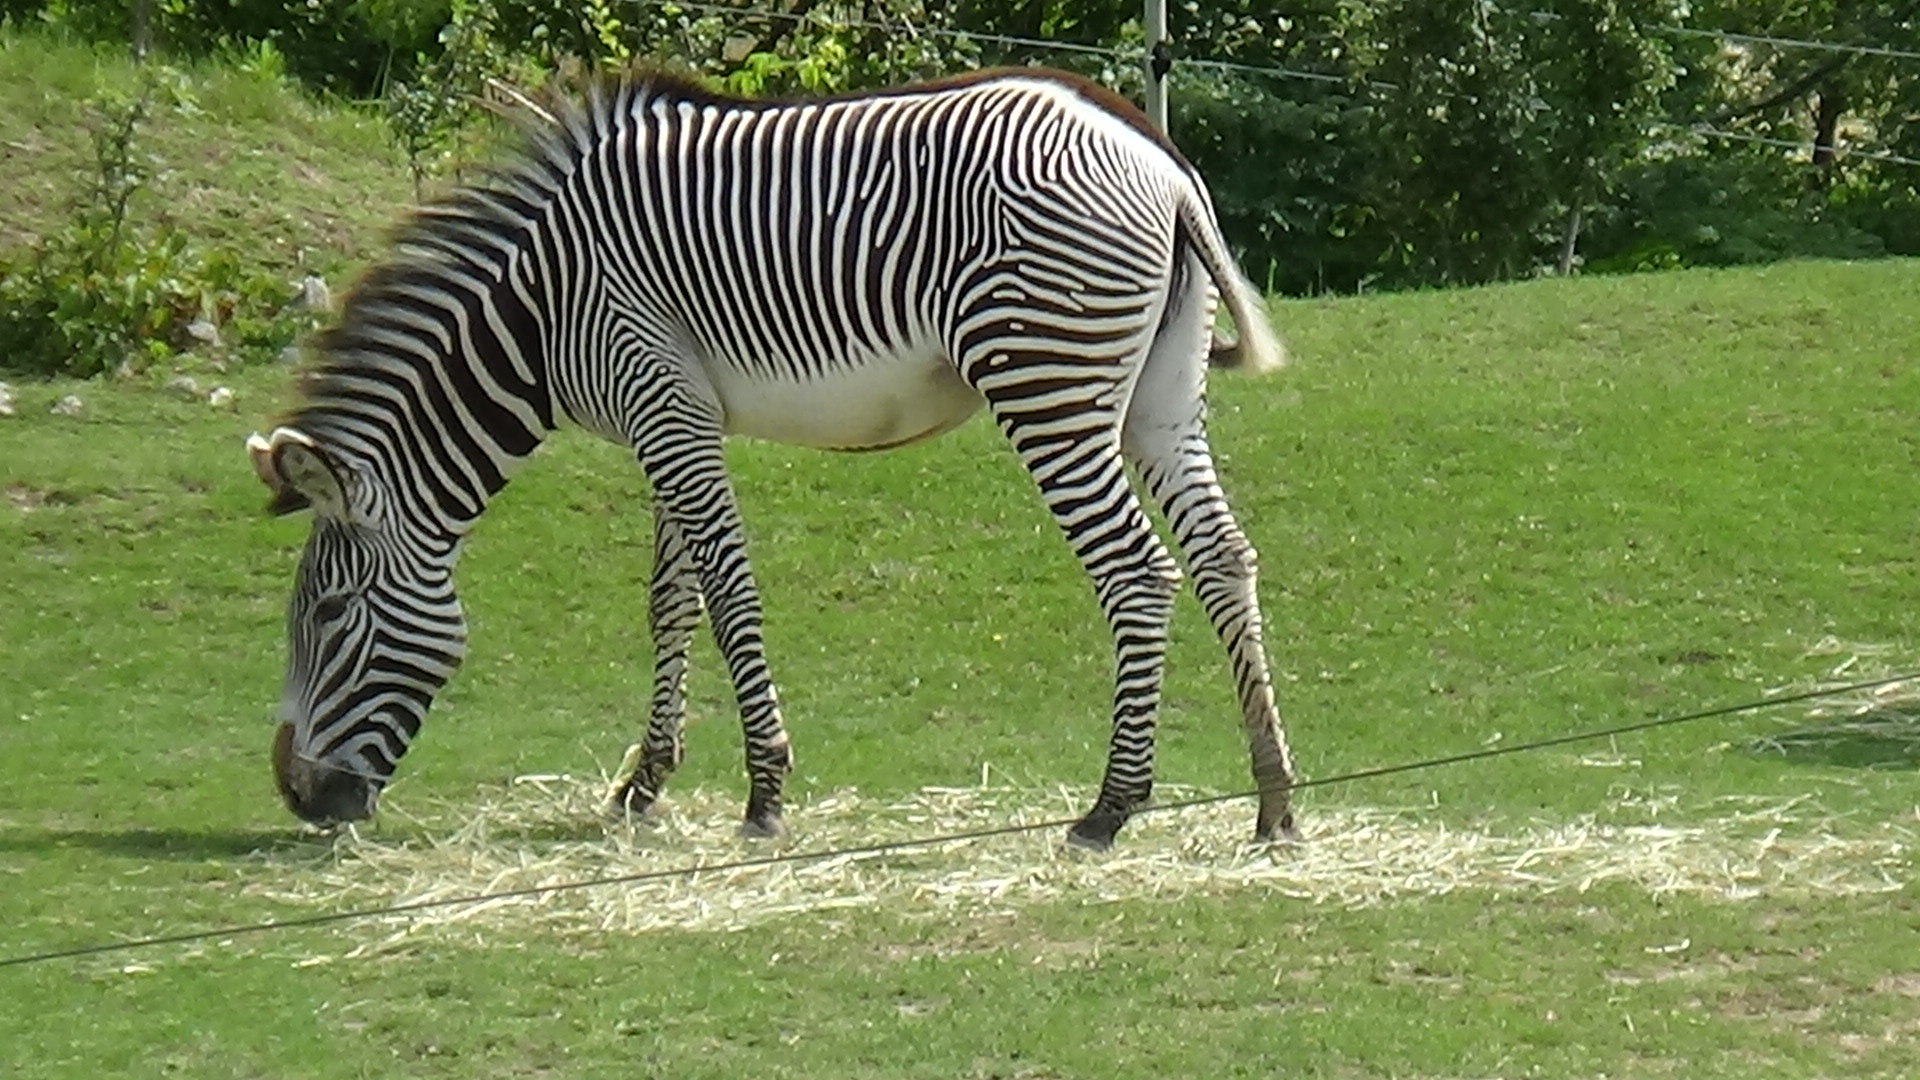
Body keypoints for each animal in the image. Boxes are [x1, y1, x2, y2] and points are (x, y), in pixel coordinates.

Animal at [249, 68, 1299, 850]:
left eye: (329, 615)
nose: (296, 796)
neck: (537, 310)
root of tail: (1158, 160)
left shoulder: (659, 400)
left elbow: (727, 590)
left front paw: (763, 793)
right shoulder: (671, 414)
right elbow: (671, 599)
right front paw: (643, 785)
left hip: (1046, 379)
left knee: (1140, 573)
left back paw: (1111, 809)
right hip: (1159, 395)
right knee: (1222, 558)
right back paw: (1274, 801)